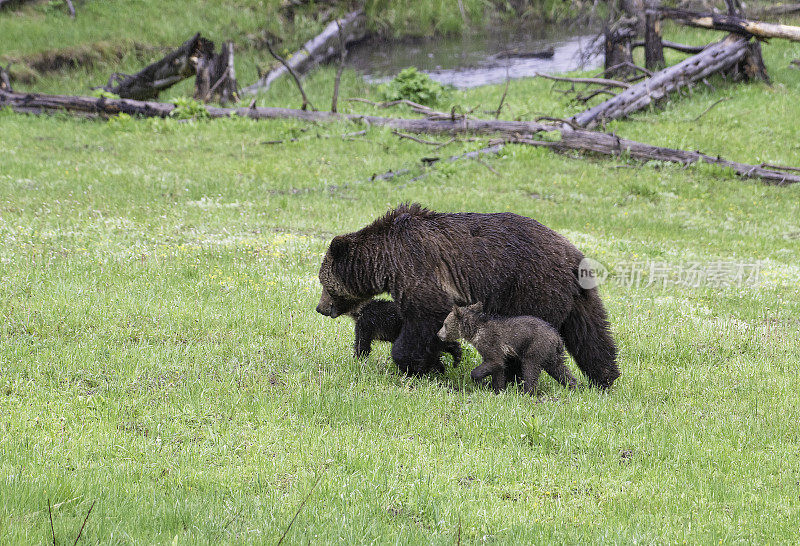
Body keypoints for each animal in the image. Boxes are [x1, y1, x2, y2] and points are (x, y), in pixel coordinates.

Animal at [438, 300, 576, 394]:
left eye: (445, 324)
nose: (438, 334)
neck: (475, 332)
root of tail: (558, 337)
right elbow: (498, 368)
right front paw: (498, 389)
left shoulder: (490, 342)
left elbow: (495, 362)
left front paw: (481, 380)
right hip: (551, 353)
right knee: (559, 369)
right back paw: (574, 386)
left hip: (536, 345)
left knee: (530, 367)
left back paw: (527, 392)